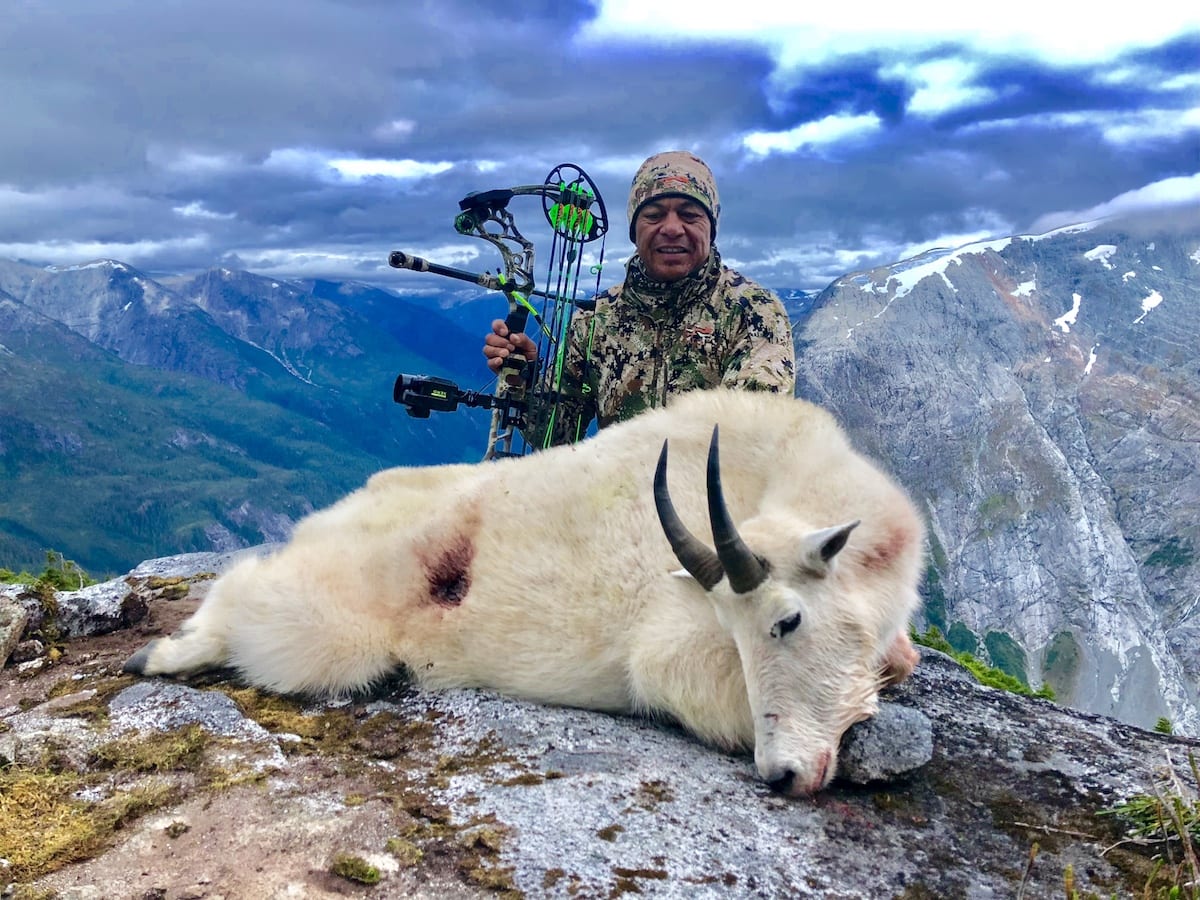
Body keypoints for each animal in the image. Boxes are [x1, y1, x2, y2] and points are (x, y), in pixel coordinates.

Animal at [126, 391, 921, 792]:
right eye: (757, 629)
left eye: (788, 622)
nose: (782, 774)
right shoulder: (667, 648)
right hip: (333, 634)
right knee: (247, 596)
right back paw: (159, 654)